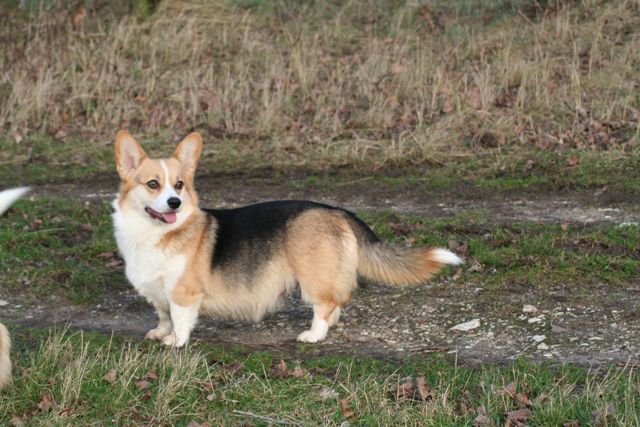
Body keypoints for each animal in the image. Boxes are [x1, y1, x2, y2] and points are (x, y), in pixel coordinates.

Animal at [112, 131, 462, 348]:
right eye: (153, 184)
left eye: (180, 185)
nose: (175, 203)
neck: (157, 233)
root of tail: (335, 210)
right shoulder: (159, 294)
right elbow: (164, 315)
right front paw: (160, 332)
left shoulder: (184, 293)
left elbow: (181, 318)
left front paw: (176, 341)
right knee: (338, 300)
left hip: (311, 276)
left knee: (326, 303)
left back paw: (314, 335)